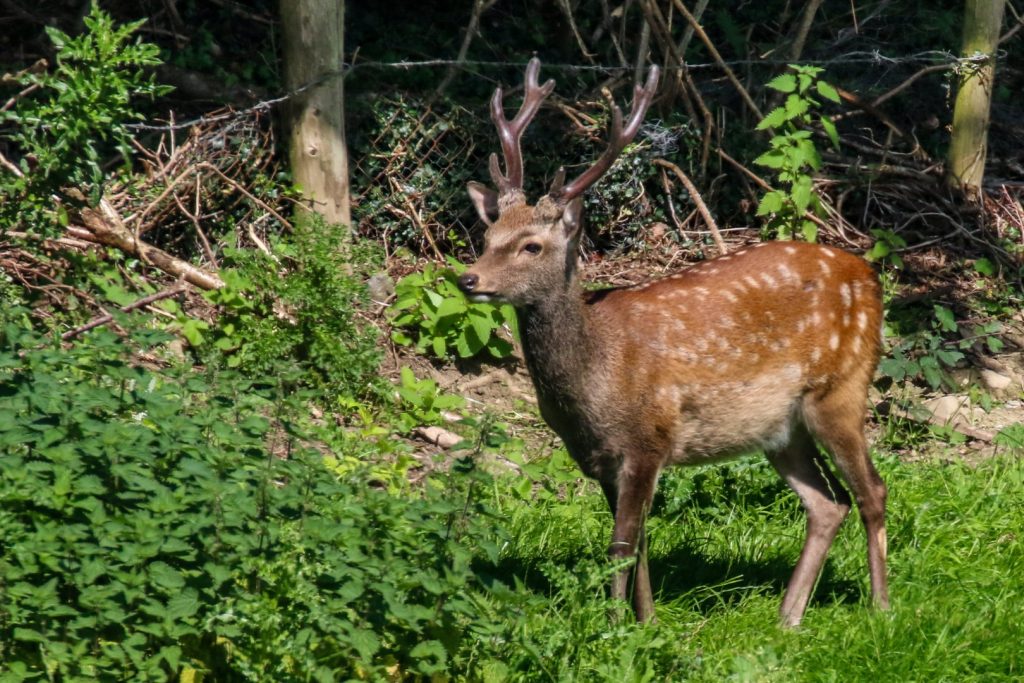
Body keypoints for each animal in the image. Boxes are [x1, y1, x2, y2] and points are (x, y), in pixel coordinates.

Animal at [460, 58, 892, 630]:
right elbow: (640, 543)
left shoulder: (649, 438)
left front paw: (614, 628)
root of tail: (869, 276)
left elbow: (621, 544)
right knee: (828, 502)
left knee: (871, 491)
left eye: (531, 246)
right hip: (781, 429)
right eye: (487, 238)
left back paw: (881, 609)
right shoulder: (599, 457)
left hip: (840, 388)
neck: (592, 380)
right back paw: (788, 616)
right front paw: (648, 622)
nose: (468, 279)